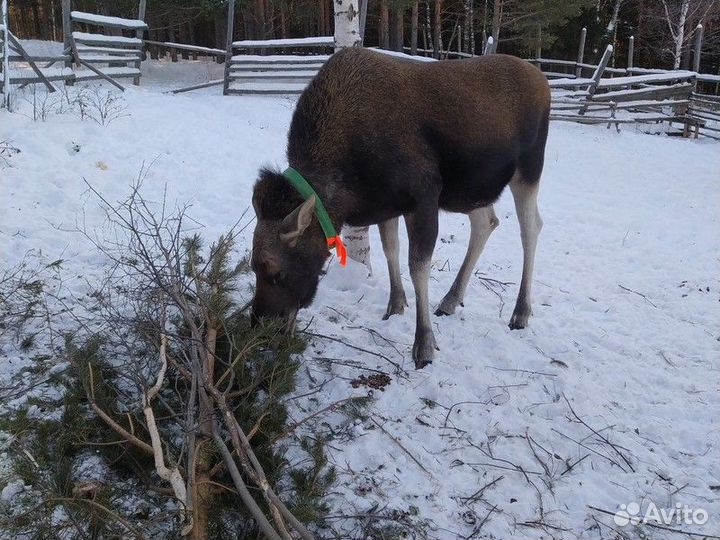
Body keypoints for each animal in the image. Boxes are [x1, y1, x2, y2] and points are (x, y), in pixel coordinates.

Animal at [250, 46, 548, 370]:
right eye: (252, 267)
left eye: (275, 271)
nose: (261, 330)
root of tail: (543, 81)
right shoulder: (389, 204)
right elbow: (389, 249)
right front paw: (395, 305)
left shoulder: (424, 196)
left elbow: (417, 265)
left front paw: (424, 345)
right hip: (472, 190)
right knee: (487, 222)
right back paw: (451, 300)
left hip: (529, 169)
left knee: (531, 228)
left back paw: (520, 312)